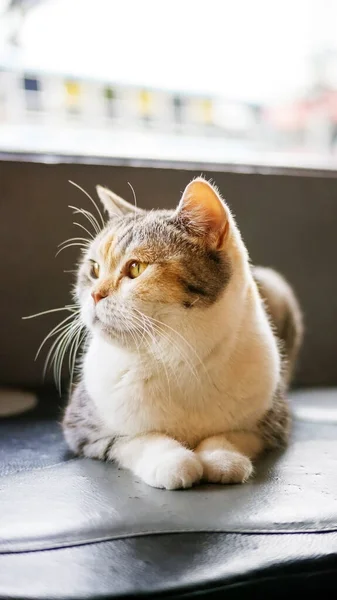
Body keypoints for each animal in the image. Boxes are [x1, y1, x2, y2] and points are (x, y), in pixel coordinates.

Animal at [62, 177, 302, 488]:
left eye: (136, 268)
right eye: (93, 269)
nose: (94, 294)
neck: (179, 352)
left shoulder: (273, 422)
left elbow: (234, 434)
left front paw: (222, 458)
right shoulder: (82, 424)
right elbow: (137, 438)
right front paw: (173, 461)